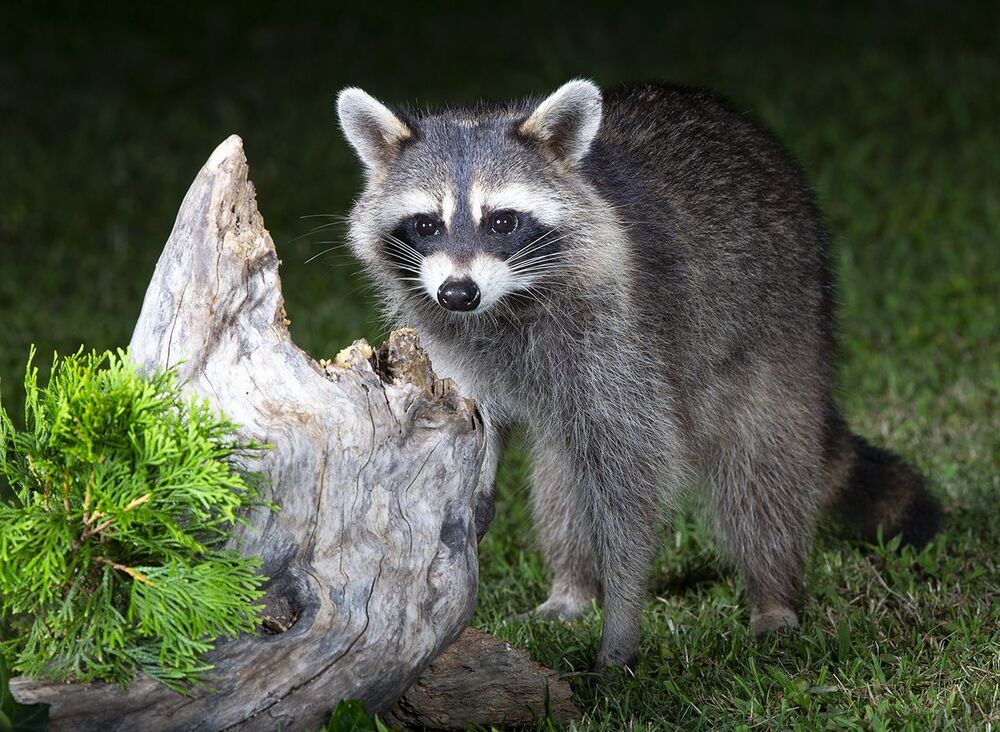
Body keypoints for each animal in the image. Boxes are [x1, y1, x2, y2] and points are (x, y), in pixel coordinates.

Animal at [335, 79, 941, 669]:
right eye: (425, 223)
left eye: (503, 221)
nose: (458, 293)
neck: (506, 305)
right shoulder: (452, 343)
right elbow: (473, 419)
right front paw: (473, 496)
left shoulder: (622, 338)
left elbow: (634, 479)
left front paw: (621, 623)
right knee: (561, 477)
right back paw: (571, 584)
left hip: (782, 317)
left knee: (763, 467)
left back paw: (773, 593)